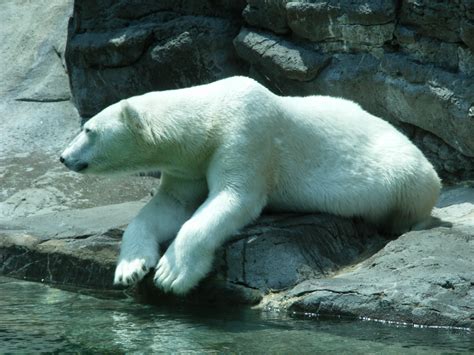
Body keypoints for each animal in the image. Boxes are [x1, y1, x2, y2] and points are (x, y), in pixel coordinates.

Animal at [60, 76, 440, 296]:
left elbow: (234, 196)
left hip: (403, 170)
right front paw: (131, 268)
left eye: (88, 129)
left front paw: (172, 273)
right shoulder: (188, 165)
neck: (209, 114)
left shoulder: (247, 132)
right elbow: (169, 205)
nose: (63, 157)